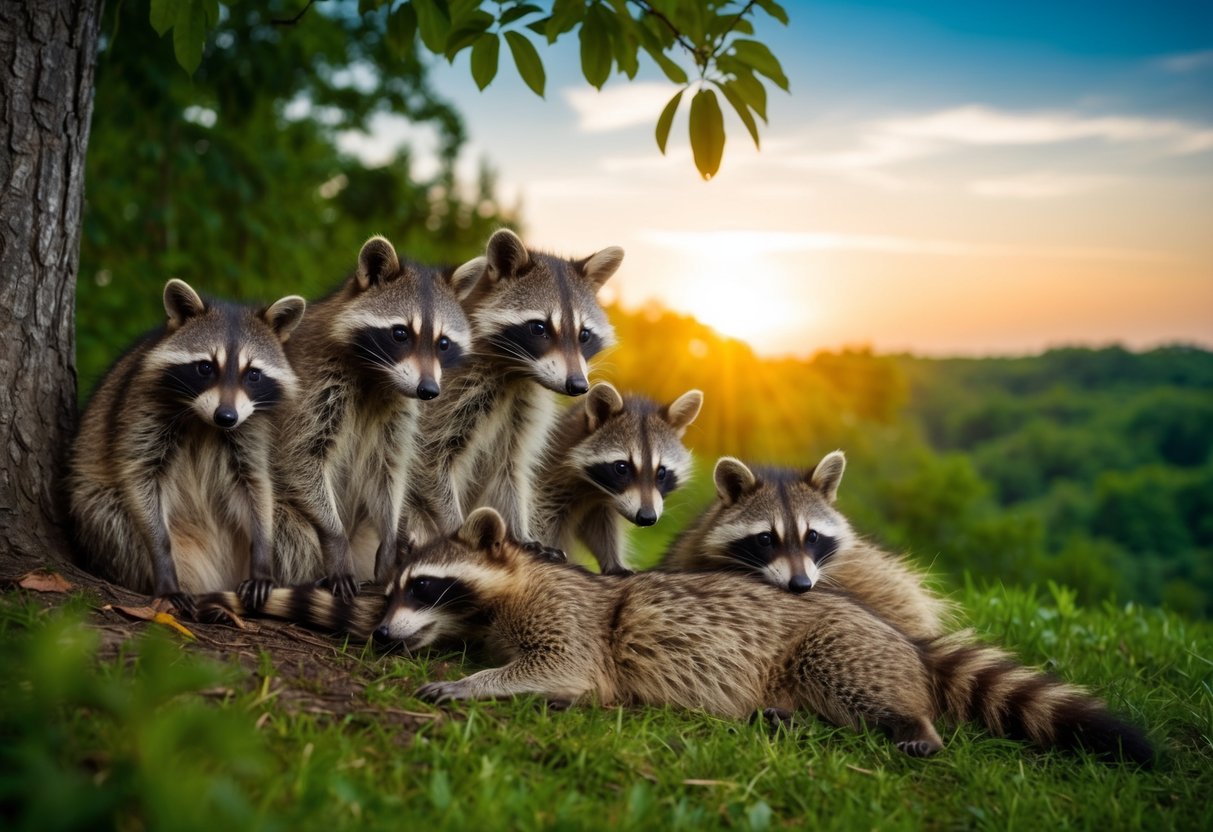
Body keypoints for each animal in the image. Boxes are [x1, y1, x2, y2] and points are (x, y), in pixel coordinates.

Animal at [68, 279, 305, 614]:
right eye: (205, 367)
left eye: (253, 374)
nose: (226, 417)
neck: (205, 424)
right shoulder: (140, 409)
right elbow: (140, 480)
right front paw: (164, 567)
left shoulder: (251, 428)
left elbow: (257, 485)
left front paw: (262, 558)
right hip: (97, 504)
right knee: (111, 522)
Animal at [271, 236, 475, 599]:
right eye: (400, 333)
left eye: (443, 343)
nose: (429, 390)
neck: (377, 377)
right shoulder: (312, 385)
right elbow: (300, 457)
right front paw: (336, 542)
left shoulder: (397, 410)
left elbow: (387, 470)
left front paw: (392, 538)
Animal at [379, 507, 1152, 766]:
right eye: (392, 587)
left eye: (424, 584)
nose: (383, 634)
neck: (509, 590)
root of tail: (903, 640)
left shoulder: (568, 619)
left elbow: (565, 666)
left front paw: (471, 682)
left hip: (837, 649)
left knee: (869, 691)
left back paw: (914, 726)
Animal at [406, 228, 621, 545]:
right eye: (539, 328)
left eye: (584, 334)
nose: (578, 385)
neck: (515, 373)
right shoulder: (449, 392)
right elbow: (429, 460)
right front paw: (457, 526)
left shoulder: (522, 406)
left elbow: (510, 471)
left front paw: (521, 533)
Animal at [531, 382, 703, 574]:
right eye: (621, 468)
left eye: (661, 473)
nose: (647, 517)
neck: (596, 490)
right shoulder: (551, 476)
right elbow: (541, 513)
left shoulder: (601, 505)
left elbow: (602, 530)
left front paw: (613, 561)